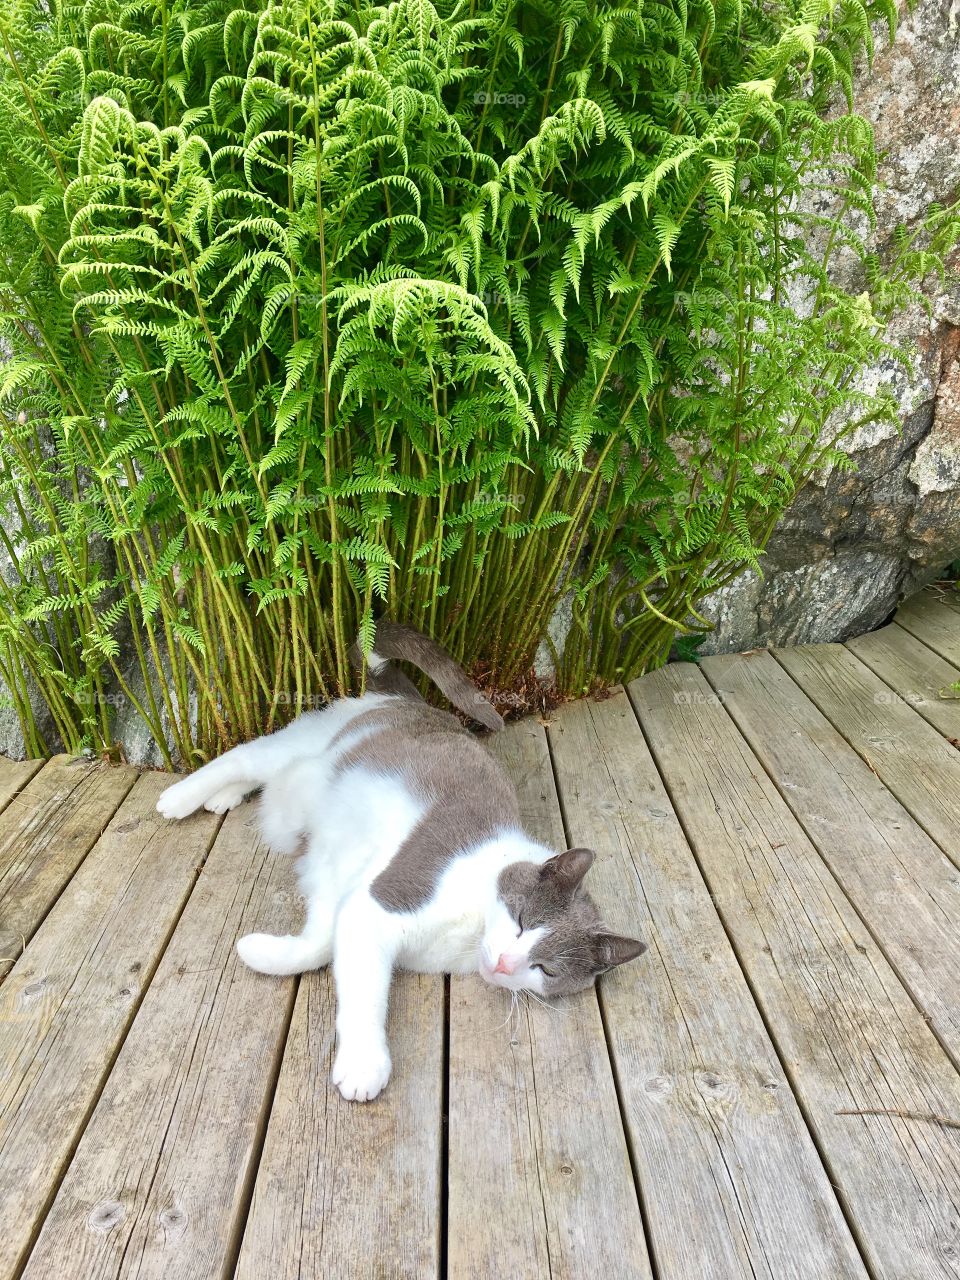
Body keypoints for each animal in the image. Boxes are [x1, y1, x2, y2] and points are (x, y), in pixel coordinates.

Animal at [158, 622, 647, 1100]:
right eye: (523, 920)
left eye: (546, 969)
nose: (507, 964)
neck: (468, 933)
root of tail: (410, 698)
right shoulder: (385, 897)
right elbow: (360, 984)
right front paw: (364, 1066)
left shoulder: (344, 891)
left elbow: (320, 942)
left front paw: (261, 951)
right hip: (306, 744)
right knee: (244, 756)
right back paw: (180, 799)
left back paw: (222, 799)